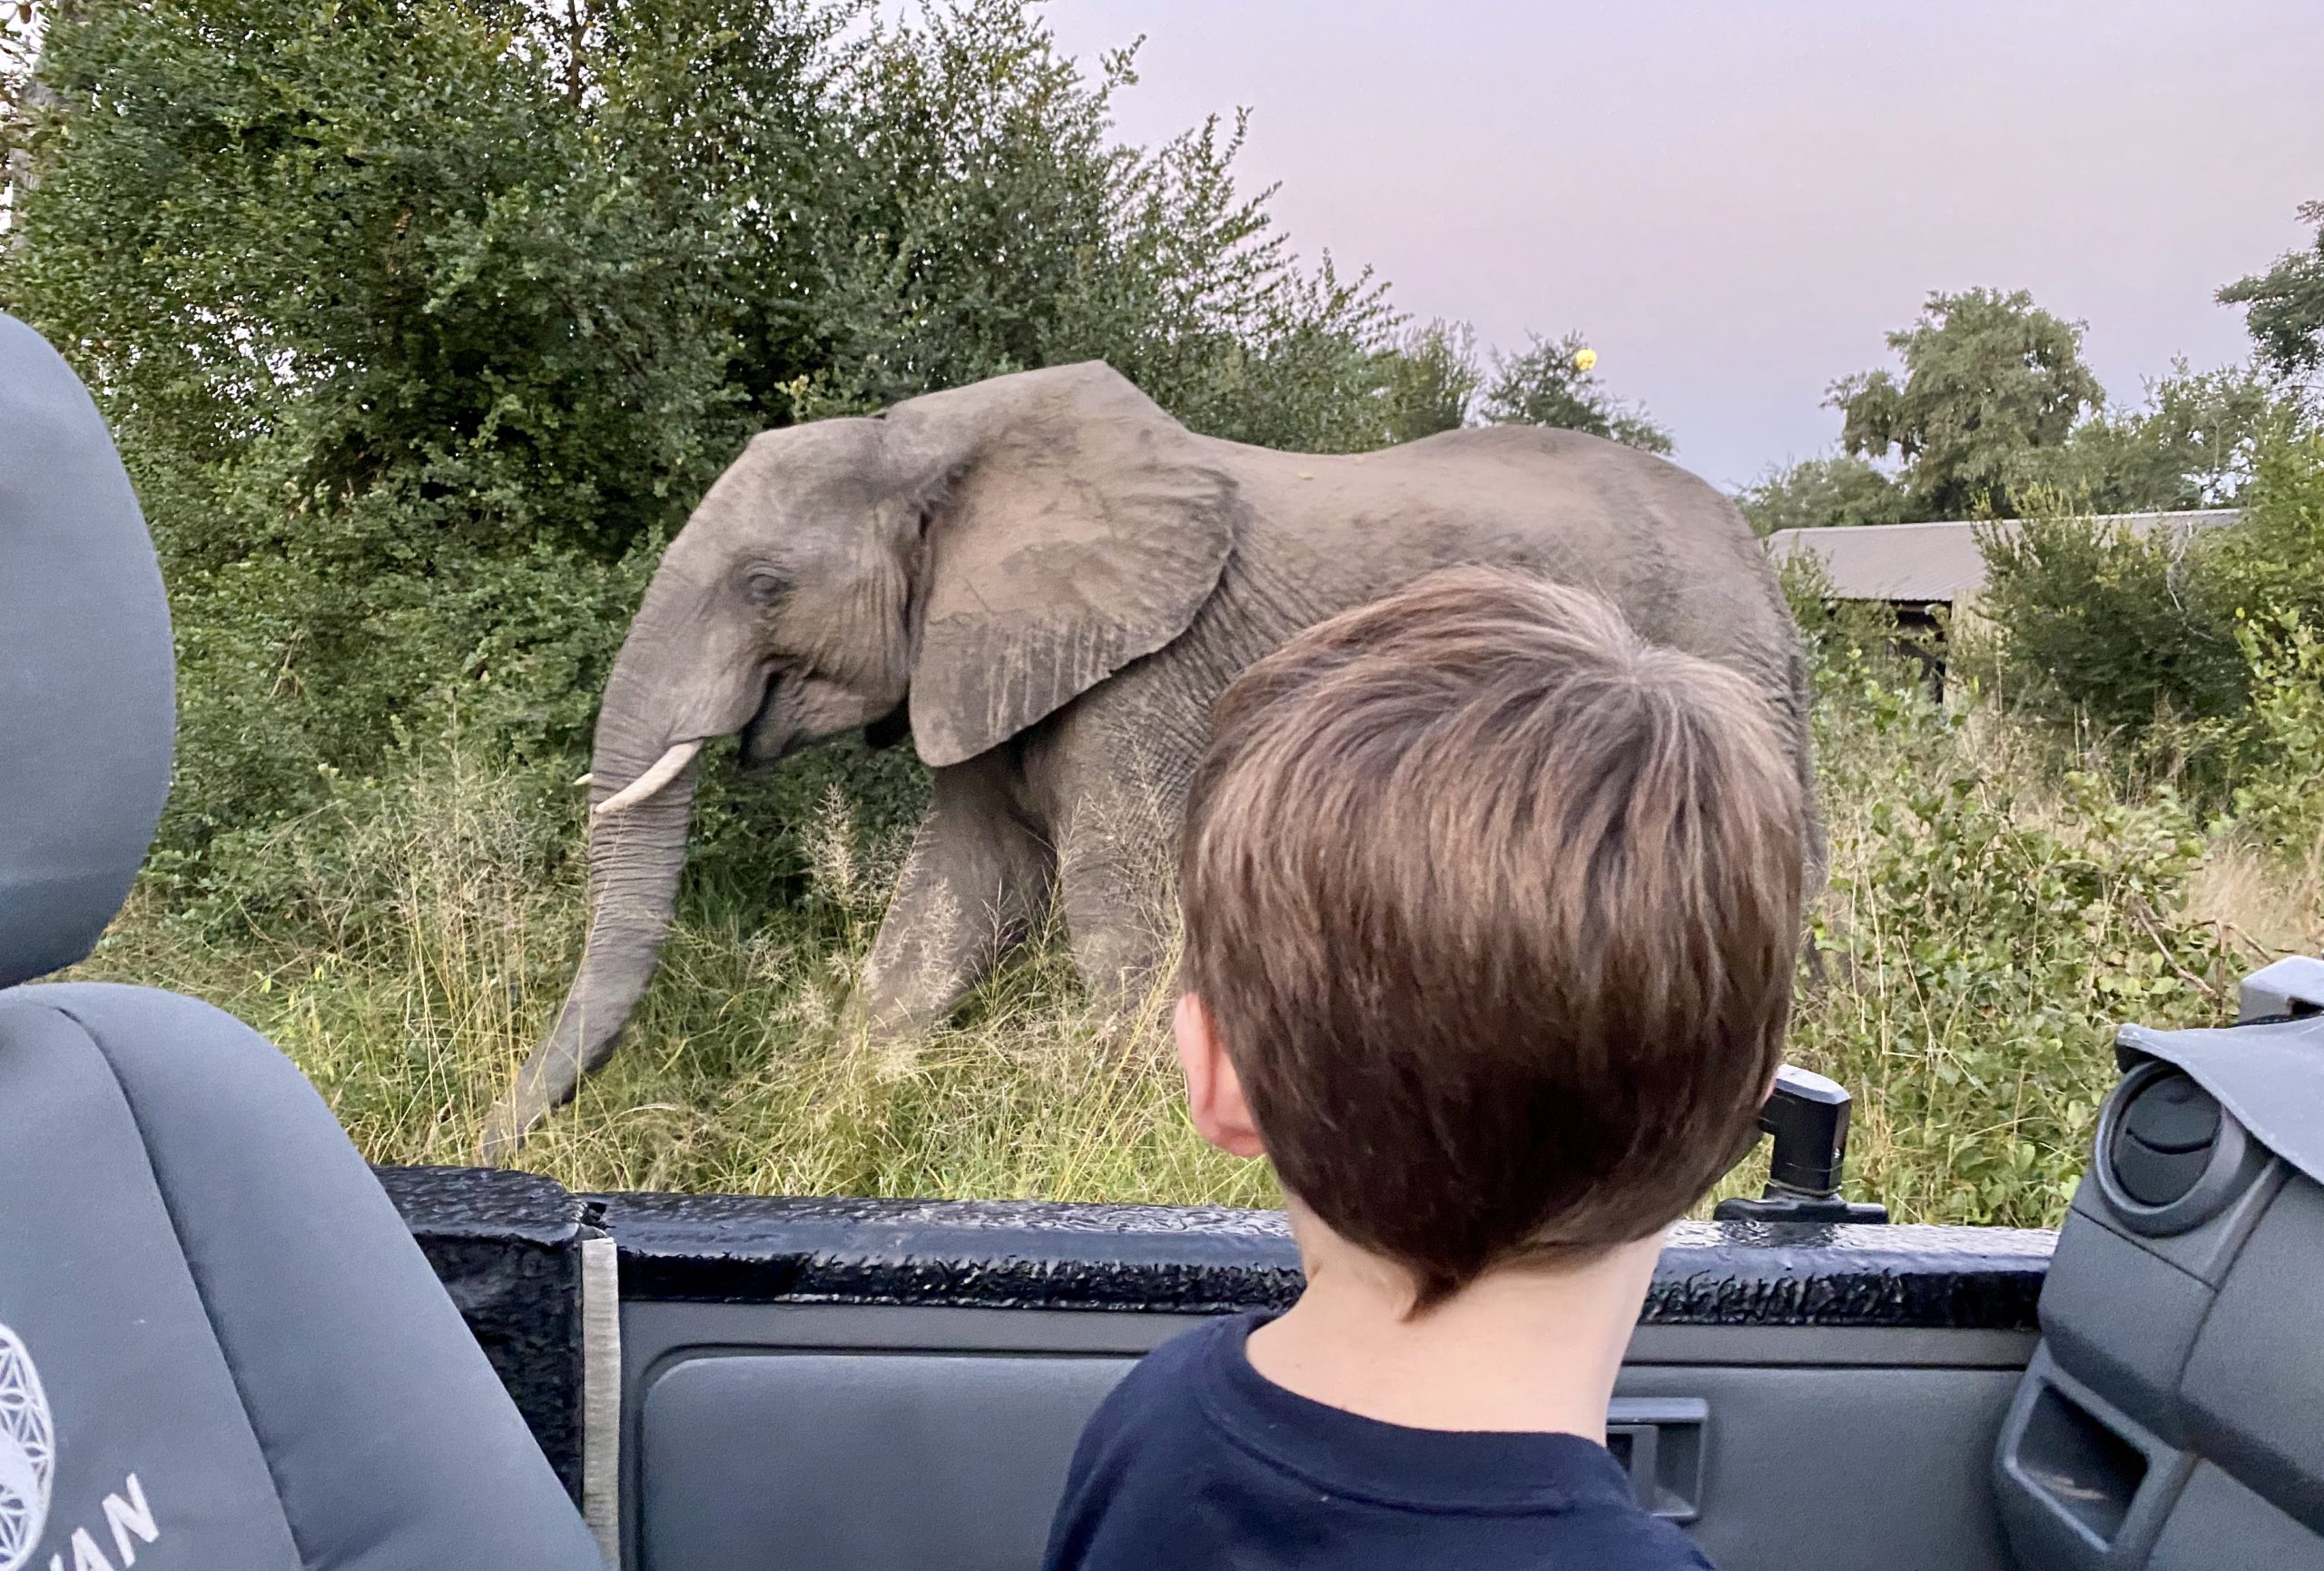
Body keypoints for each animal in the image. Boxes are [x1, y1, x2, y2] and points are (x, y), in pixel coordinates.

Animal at [490, 362, 1822, 1161]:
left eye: (764, 585)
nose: (494, 1149)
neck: (928, 442)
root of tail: (1766, 568)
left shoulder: (1148, 671)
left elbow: (1112, 898)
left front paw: (1136, 1144)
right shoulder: (993, 651)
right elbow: (959, 891)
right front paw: (833, 1114)